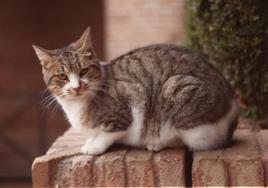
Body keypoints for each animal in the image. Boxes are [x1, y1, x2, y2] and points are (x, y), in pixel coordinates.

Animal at [32, 27, 240, 155]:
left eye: (83, 71)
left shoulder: (128, 105)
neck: (77, 105)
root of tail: (232, 106)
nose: (77, 87)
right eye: (62, 76)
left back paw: (156, 143)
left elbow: (108, 133)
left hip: (177, 91)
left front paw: (93, 146)